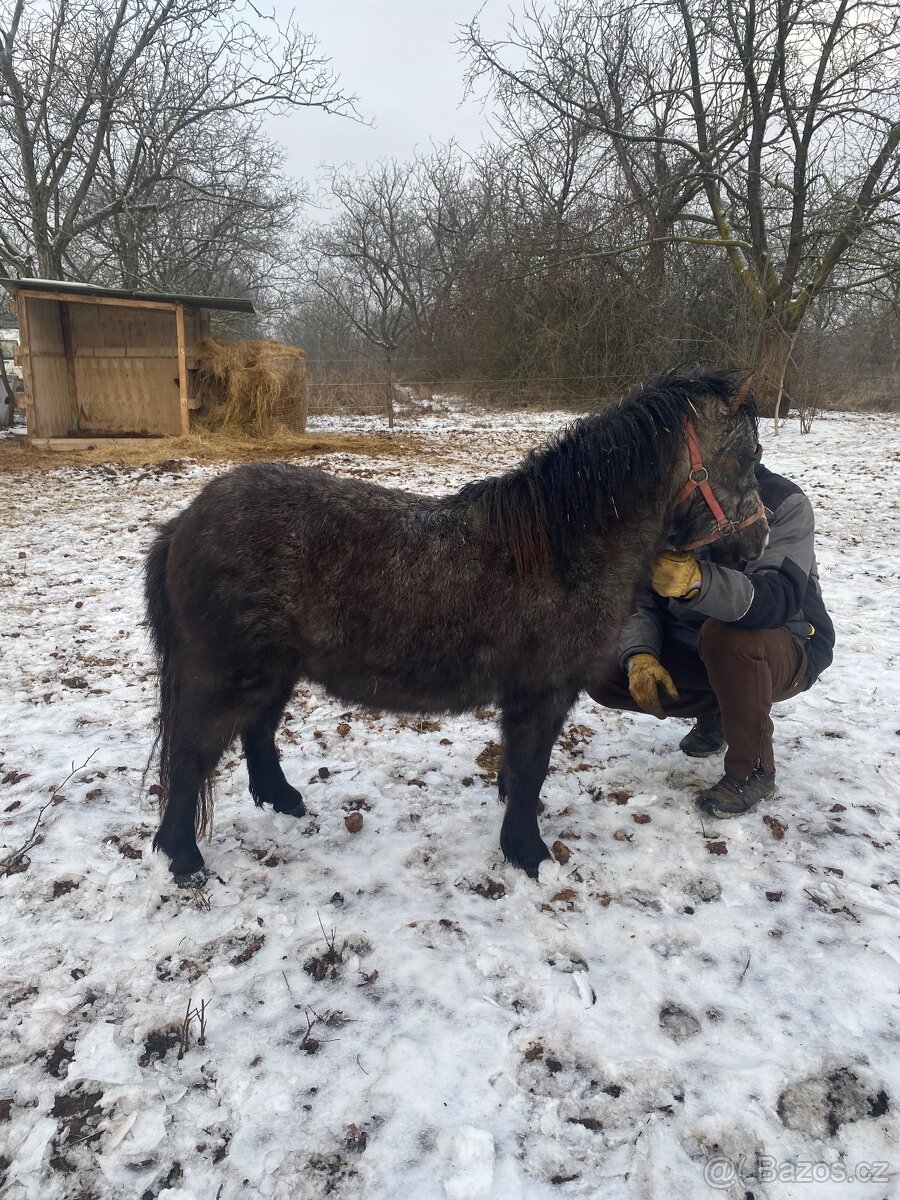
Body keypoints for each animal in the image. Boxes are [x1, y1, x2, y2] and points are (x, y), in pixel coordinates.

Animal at [144, 368, 767, 883]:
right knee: (194, 754)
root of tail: (185, 522)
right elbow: (531, 767)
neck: (564, 546)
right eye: (750, 453)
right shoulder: (542, 693)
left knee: (258, 732)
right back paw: (184, 859)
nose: (758, 540)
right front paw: (528, 853)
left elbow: (519, 770)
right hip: (227, 675)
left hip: (275, 670)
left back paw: (283, 801)